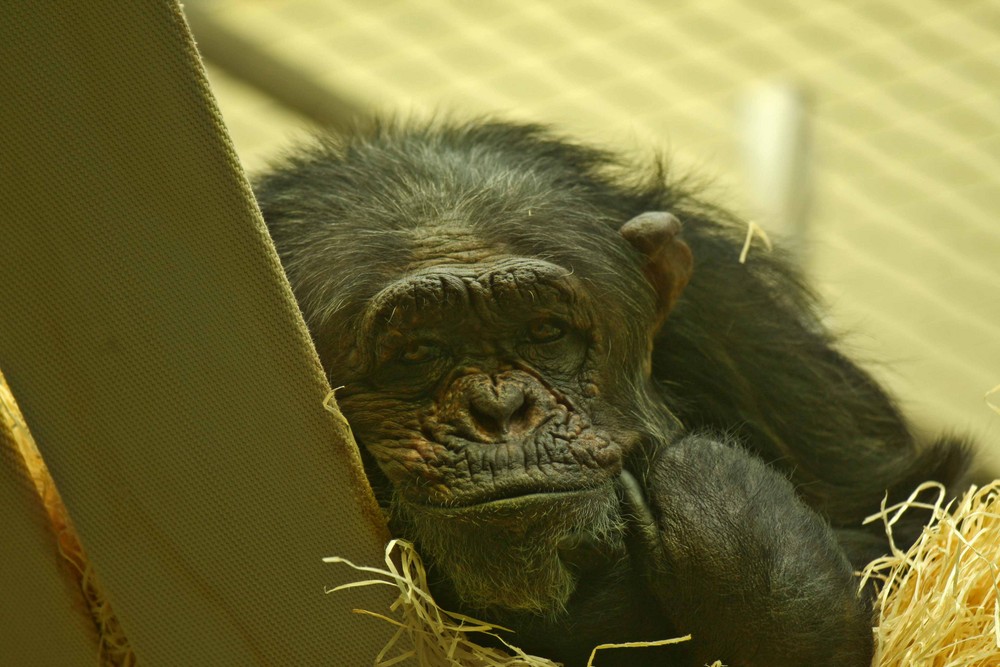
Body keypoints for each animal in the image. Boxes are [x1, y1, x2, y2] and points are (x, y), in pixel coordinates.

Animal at [254, 121, 972, 667]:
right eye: (416, 353)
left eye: (546, 330)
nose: (501, 409)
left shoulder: (747, 329)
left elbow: (909, 509)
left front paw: (727, 524)